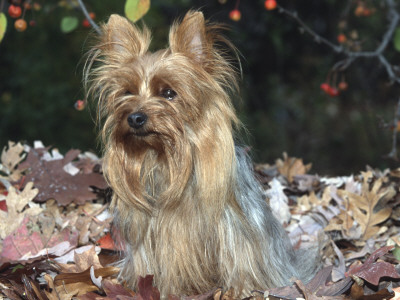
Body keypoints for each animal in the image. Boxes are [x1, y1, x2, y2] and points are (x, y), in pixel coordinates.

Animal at [84, 10, 318, 296]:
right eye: (127, 92)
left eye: (169, 93)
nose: (135, 118)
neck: (166, 157)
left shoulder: (234, 226)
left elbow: (241, 256)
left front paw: (241, 289)